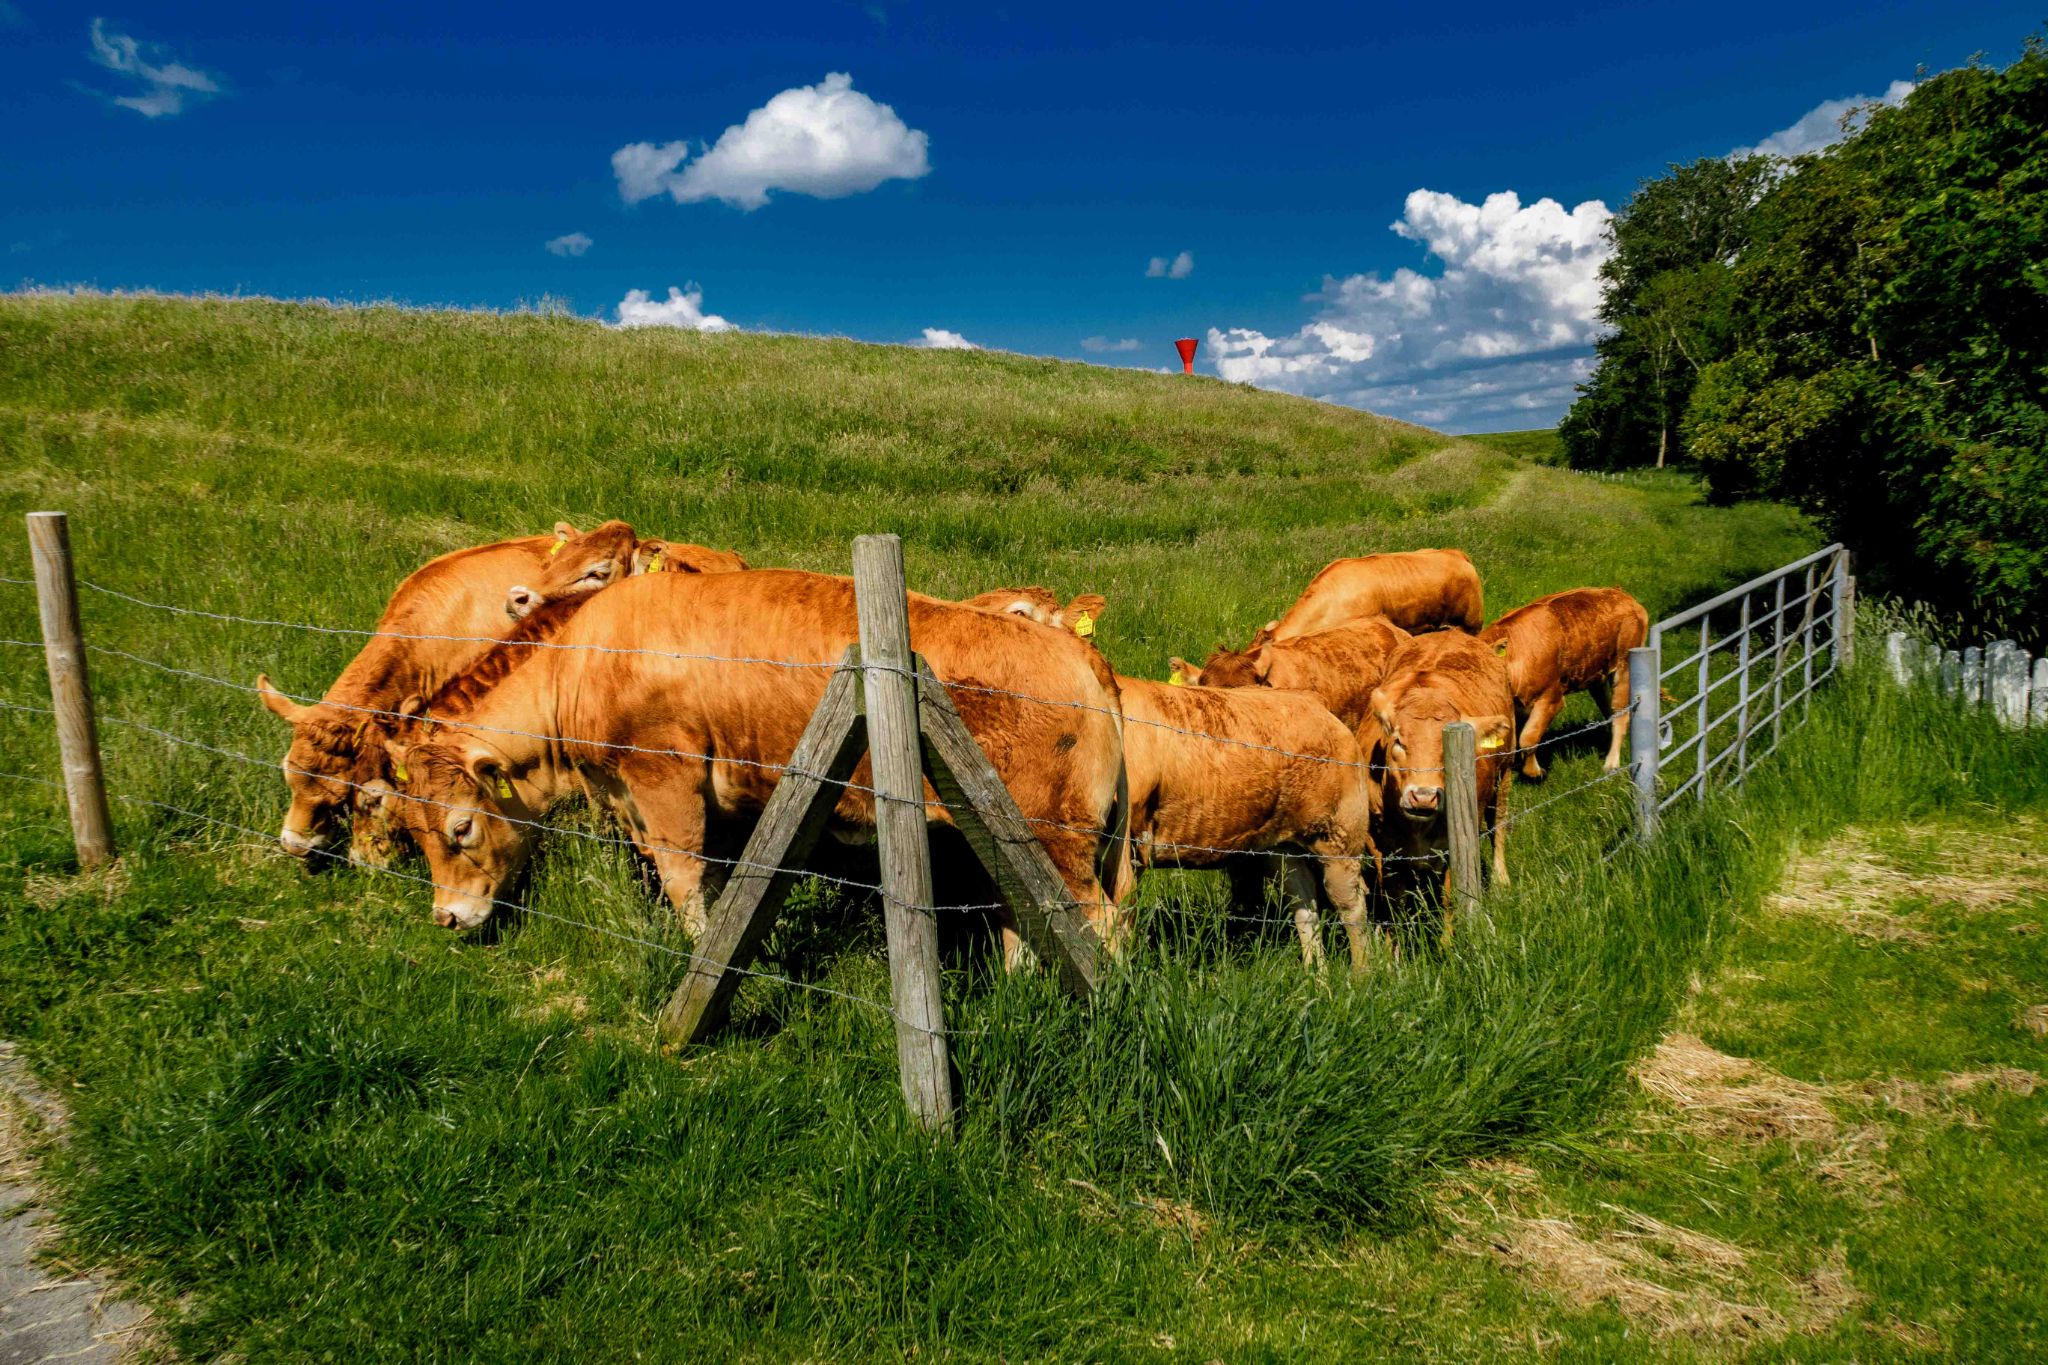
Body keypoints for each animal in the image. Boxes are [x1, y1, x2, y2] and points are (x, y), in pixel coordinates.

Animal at [379, 570, 1129, 960]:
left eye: (460, 828)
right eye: (411, 832)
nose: (447, 917)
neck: (585, 653)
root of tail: (1080, 651)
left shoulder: (665, 779)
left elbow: (685, 881)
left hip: (1053, 839)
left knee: (1102, 925)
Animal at [1363, 630, 1517, 906]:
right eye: (1398, 741)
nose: (1423, 797)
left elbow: (1451, 897)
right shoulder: (1378, 844)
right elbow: (1394, 897)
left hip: (1505, 772)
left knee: (1498, 825)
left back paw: (1501, 880)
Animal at [1479, 587, 1649, 780]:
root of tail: (1623, 595)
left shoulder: (1551, 697)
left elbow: (1528, 737)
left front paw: (1535, 772)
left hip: (1624, 665)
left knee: (1621, 713)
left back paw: (1611, 763)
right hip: (1596, 674)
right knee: (1609, 709)